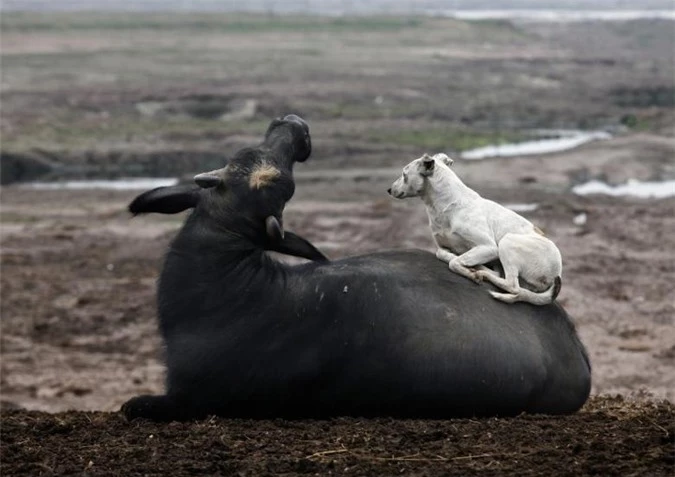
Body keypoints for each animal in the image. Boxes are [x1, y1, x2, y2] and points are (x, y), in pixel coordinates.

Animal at [388, 152, 564, 304]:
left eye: (404, 174)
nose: (389, 190)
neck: (447, 205)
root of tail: (557, 272)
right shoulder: (443, 246)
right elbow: (443, 254)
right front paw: (458, 259)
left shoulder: (489, 247)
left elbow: (455, 263)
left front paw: (469, 272)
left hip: (506, 242)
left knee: (512, 285)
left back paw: (482, 272)